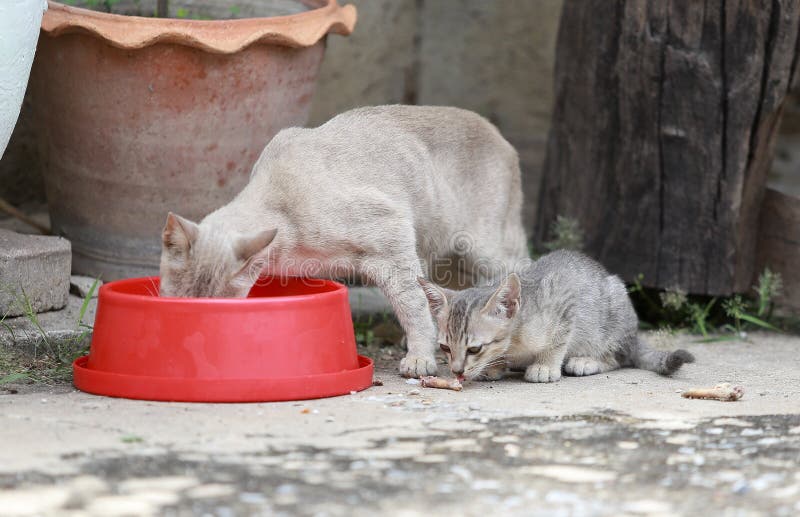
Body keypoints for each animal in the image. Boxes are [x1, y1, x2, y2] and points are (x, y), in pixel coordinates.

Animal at [159, 106, 528, 378]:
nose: (192, 335)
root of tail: (499, 134)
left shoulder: (392, 241)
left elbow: (412, 307)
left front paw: (420, 358)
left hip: (480, 246)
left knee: (515, 275)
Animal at [418, 248, 692, 380]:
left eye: (475, 349)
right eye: (444, 347)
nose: (457, 371)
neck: (515, 342)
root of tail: (634, 334)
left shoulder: (564, 301)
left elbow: (558, 342)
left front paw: (545, 366)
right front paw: (495, 367)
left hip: (613, 320)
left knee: (619, 357)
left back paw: (586, 361)